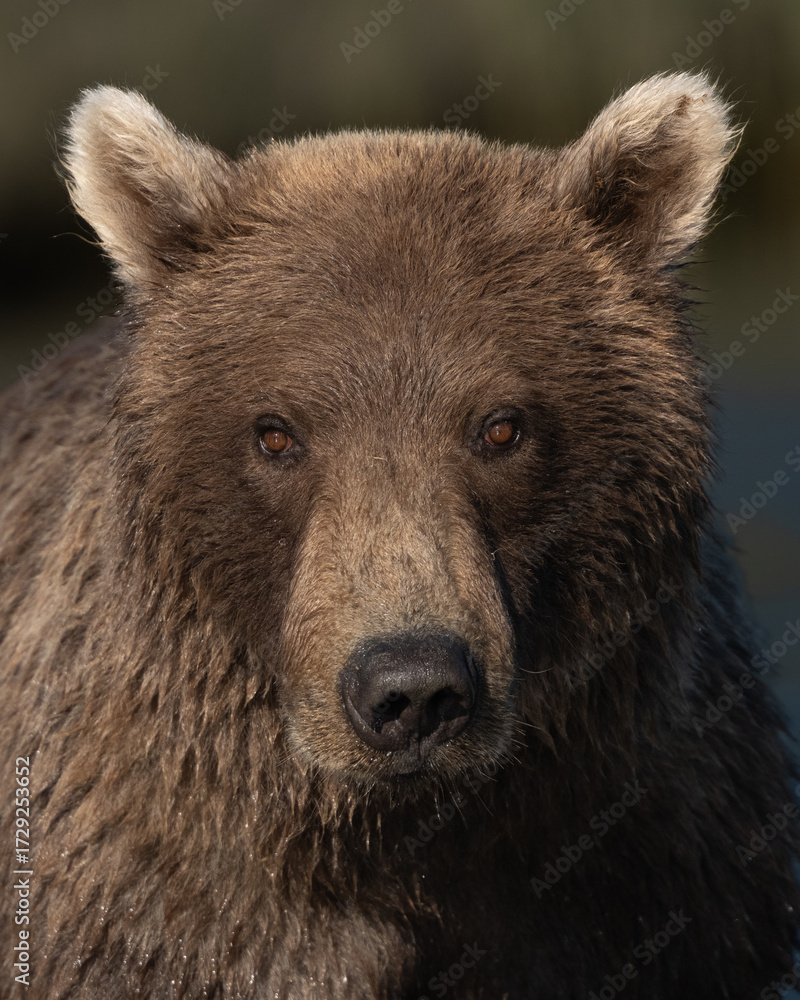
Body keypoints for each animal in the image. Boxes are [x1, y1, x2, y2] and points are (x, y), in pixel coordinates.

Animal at [1, 71, 798, 999]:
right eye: (276, 432)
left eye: (501, 426)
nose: (412, 688)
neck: (397, 846)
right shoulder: (151, 906)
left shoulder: (663, 872)